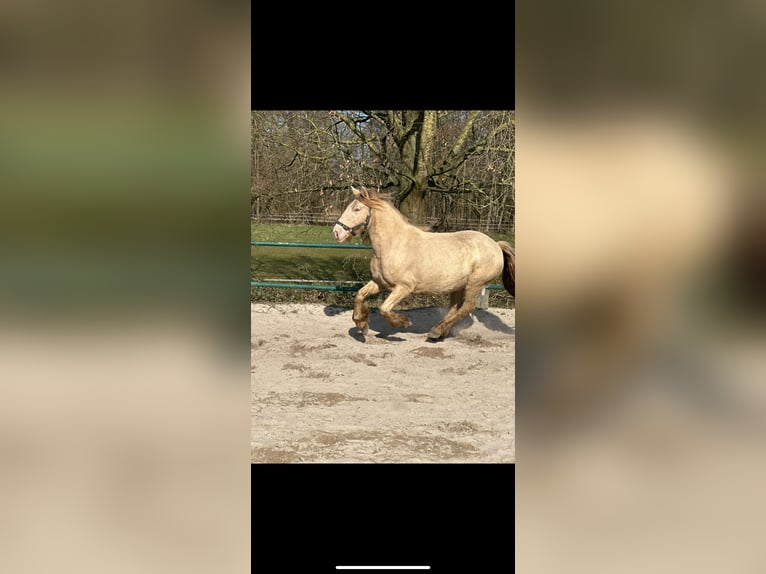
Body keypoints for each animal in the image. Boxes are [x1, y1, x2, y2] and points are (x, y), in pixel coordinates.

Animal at [333, 186, 515, 340]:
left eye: (356, 209)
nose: (336, 232)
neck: (393, 244)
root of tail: (496, 245)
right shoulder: (380, 282)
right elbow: (359, 295)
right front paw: (362, 325)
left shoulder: (404, 287)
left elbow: (384, 309)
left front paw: (403, 323)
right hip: (458, 286)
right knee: (455, 308)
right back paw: (440, 331)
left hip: (475, 284)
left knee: (467, 307)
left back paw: (436, 331)